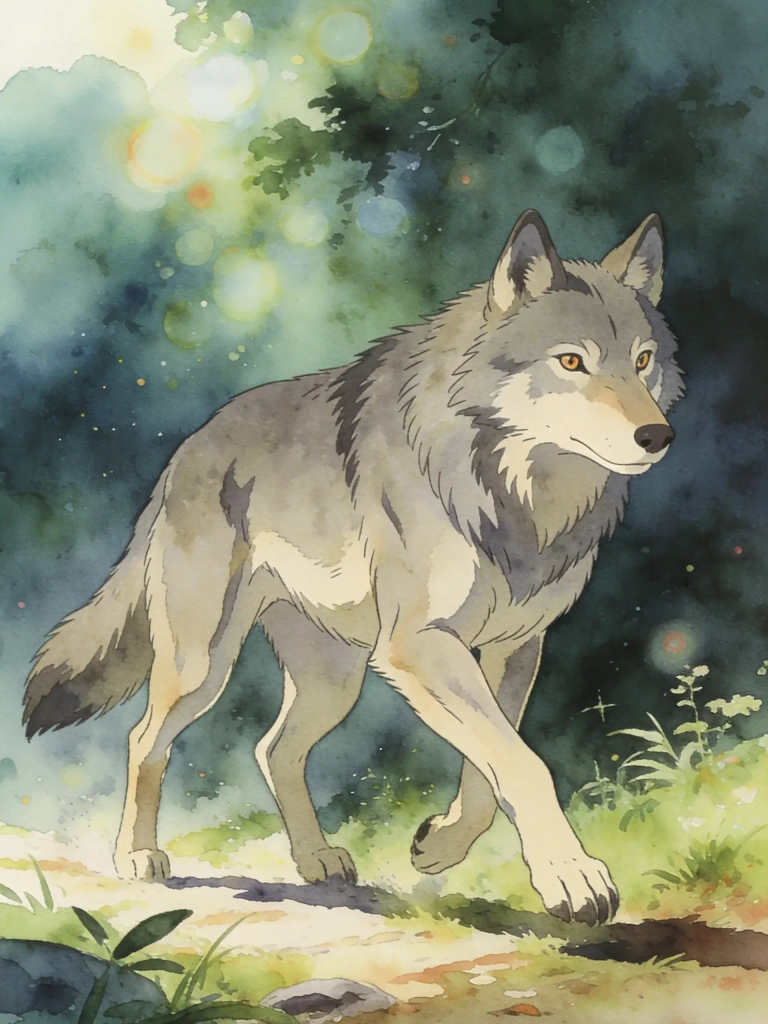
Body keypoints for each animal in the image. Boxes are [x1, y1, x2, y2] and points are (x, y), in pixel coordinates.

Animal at [23, 209, 683, 925]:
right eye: (571, 361)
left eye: (642, 362)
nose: (658, 437)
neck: (520, 501)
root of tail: (188, 448)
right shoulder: (418, 645)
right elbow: (524, 764)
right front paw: (575, 879)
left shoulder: (515, 648)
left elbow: (491, 768)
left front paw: (439, 846)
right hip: (203, 667)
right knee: (145, 737)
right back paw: (138, 856)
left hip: (335, 682)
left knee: (272, 748)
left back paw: (315, 860)